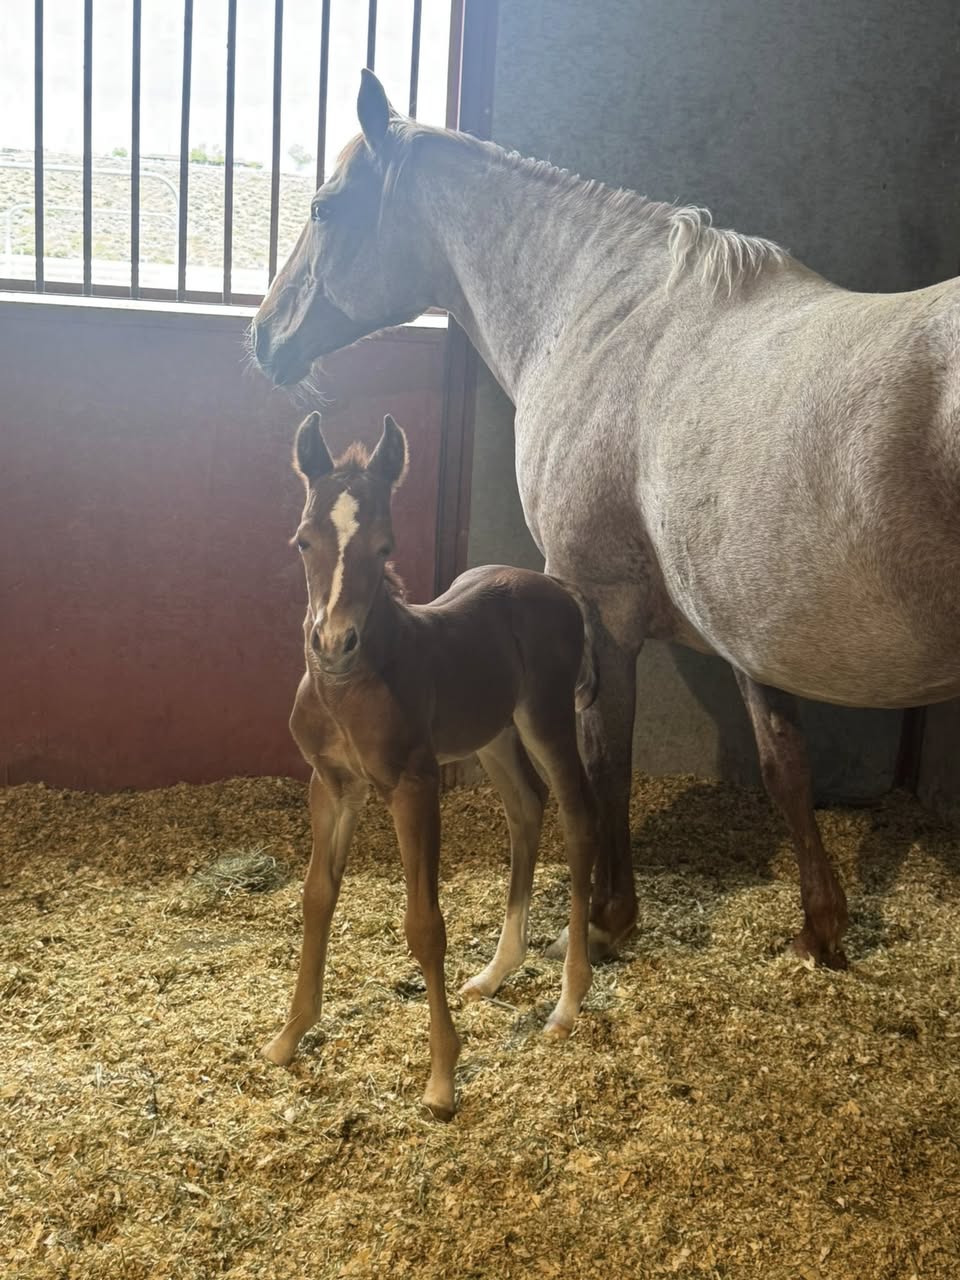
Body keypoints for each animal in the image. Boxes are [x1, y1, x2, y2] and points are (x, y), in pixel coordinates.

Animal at [252, 70, 960, 973]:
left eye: (325, 207)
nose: (262, 337)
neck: (603, 312)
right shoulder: (748, 620)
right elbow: (783, 764)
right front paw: (819, 927)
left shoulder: (601, 606)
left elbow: (604, 763)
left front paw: (608, 915)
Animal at [262, 410, 599, 1120]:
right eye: (303, 542)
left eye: (385, 547)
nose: (332, 645)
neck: (349, 689)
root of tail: (552, 585)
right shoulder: (333, 785)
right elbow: (316, 897)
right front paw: (289, 1035)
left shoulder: (413, 786)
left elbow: (424, 925)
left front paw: (442, 1077)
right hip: (493, 734)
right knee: (527, 808)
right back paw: (497, 972)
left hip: (546, 718)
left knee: (579, 817)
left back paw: (566, 1002)